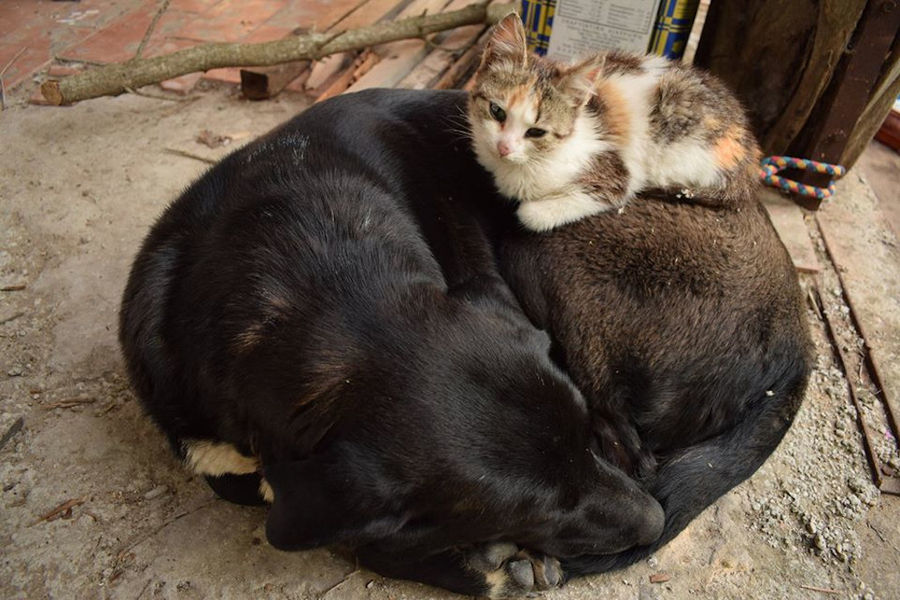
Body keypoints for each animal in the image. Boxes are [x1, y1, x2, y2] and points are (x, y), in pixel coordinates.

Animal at [472, 14, 760, 230]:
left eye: (536, 132)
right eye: (497, 111)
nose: (504, 148)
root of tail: (750, 153)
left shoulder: (617, 173)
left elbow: (532, 215)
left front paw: (532, 208)